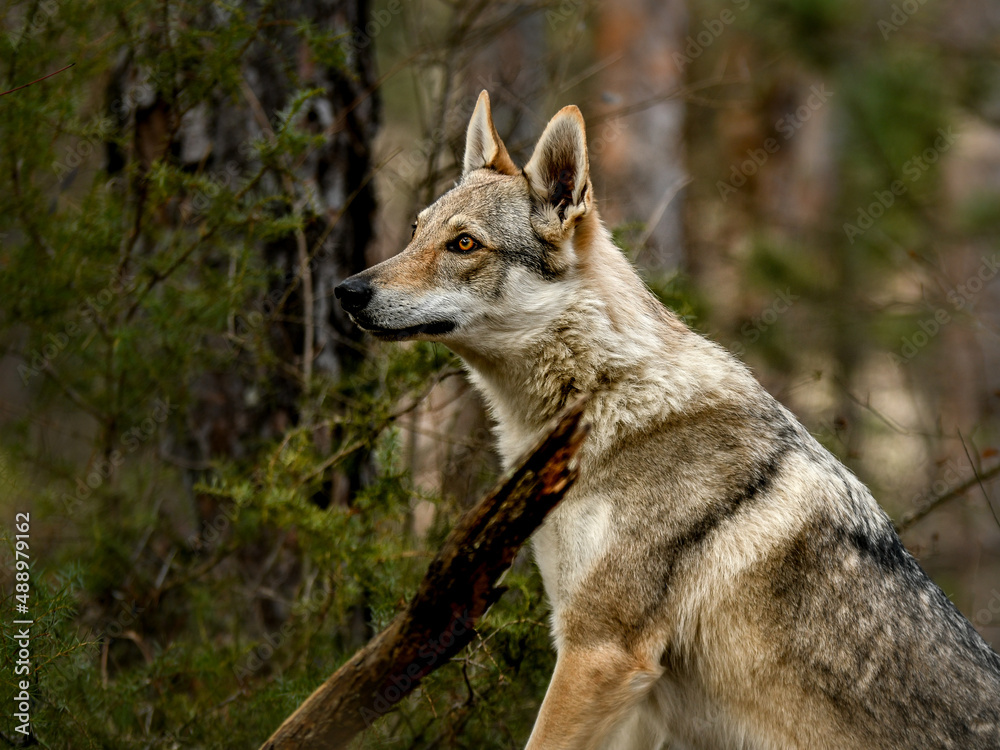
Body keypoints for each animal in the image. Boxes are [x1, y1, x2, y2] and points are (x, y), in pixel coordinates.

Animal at [336, 91, 1000, 749]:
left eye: (465, 245)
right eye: (416, 231)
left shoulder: (600, 651)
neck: (602, 396)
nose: (346, 290)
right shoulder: (632, 694)